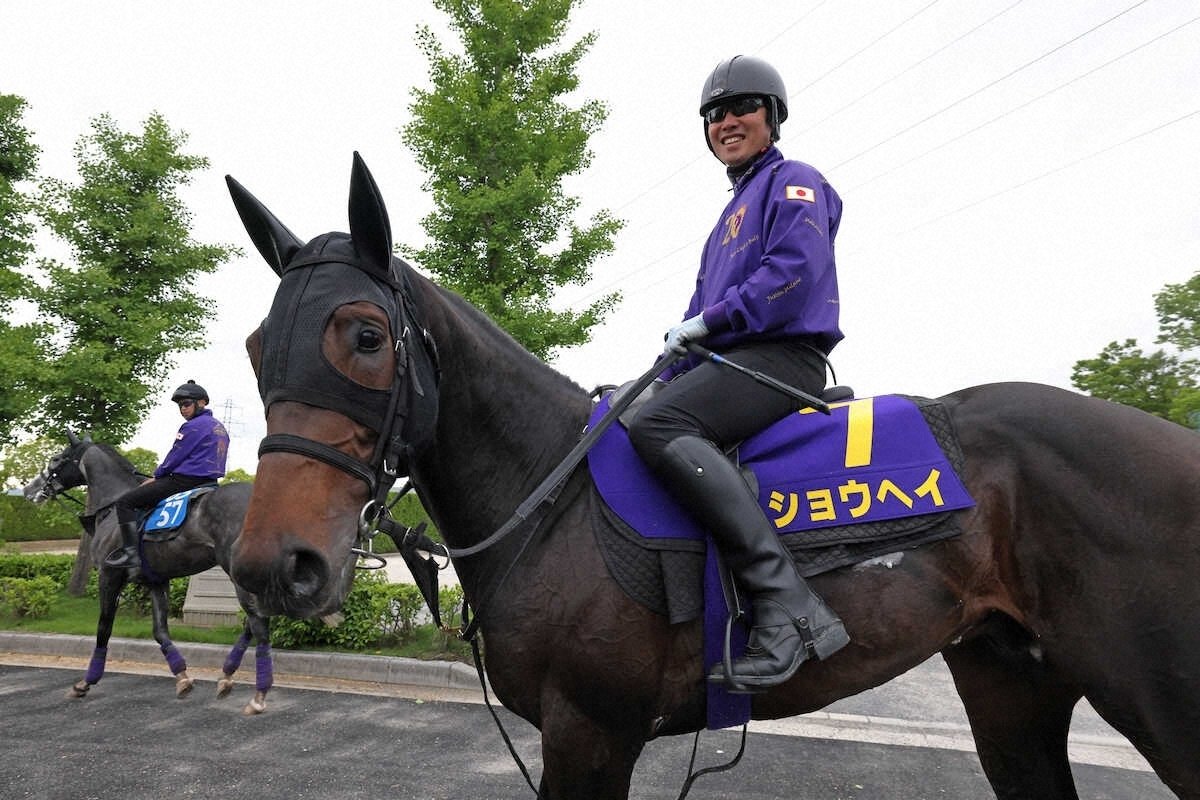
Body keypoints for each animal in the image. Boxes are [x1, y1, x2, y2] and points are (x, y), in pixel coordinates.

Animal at [22, 432, 277, 715]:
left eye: (56, 458)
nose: (29, 489)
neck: (111, 507)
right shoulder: (157, 581)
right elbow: (160, 631)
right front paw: (182, 676)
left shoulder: (109, 577)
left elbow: (103, 628)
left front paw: (86, 682)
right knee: (254, 622)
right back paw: (227, 675)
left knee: (259, 623)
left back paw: (258, 694)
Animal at [224, 153, 1200, 798]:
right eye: (257, 347)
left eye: (365, 335)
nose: (277, 564)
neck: (549, 494)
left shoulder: (591, 733)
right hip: (1011, 683)